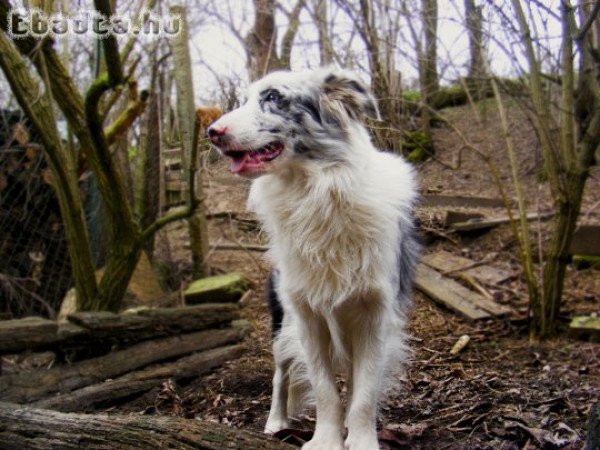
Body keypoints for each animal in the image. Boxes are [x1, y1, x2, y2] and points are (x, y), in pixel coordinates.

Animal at [209, 67, 420, 450]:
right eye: (246, 98)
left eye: (273, 97)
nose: (211, 132)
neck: (318, 191)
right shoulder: (307, 315)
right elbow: (324, 389)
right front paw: (325, 440)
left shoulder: (374, 315)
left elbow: (363, 392)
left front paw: (360, 440)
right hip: (282, 323)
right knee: (280, 375)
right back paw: (276, 421)